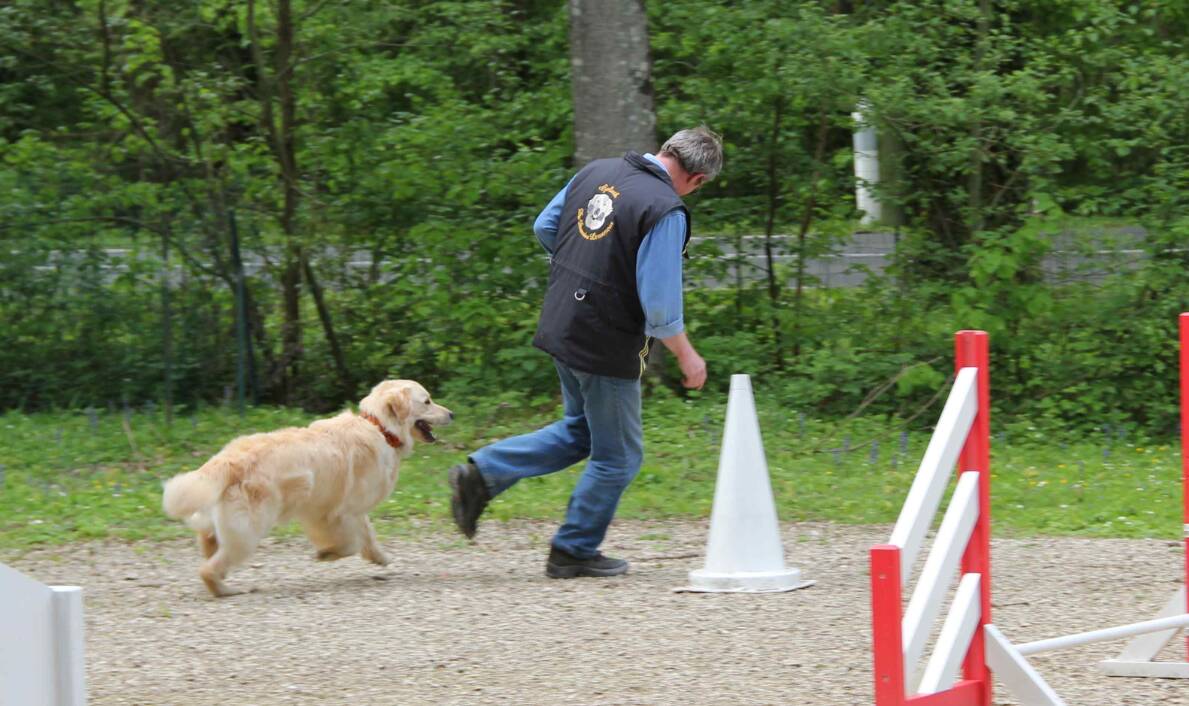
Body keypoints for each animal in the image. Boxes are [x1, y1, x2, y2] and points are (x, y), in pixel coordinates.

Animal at [162, 380, 449, 594]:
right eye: (427, 401)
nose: (452, 413)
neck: (379, 428)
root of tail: (229, 460)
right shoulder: (337, 513)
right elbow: (352, 542)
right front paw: (326, 553)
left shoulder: (344, 511)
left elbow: (367, 535)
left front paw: (379, 557)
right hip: (248, 532)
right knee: (209, 568)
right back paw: (225, 589)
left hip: (223, 520)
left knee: (207, 540)